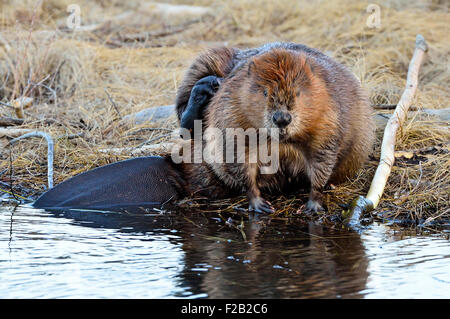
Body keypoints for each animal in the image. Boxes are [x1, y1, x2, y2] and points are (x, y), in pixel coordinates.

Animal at [174, 42, 374, 212]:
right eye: (264, 92)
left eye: (298, 93)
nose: (282, 118)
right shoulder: (230, 114)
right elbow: (239, 158)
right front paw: (259, 204)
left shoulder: (327, 117)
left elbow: (322, 158)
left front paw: (313, 204)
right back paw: (205, 88)